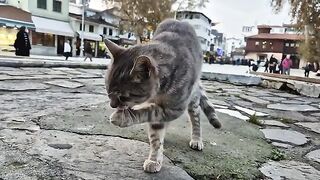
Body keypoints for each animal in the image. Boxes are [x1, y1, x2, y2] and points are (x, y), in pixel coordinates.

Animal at [104, 19, 221, 173]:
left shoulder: (175, 108)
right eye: (107, 90)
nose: (112, 105)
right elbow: (156, 137)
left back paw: (197, 139)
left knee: (196, 118)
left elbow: (147, 112)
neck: (160, 92)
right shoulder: (160, 112)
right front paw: (155, 159)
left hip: (193, 98)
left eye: (123, 97)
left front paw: (123, 117)